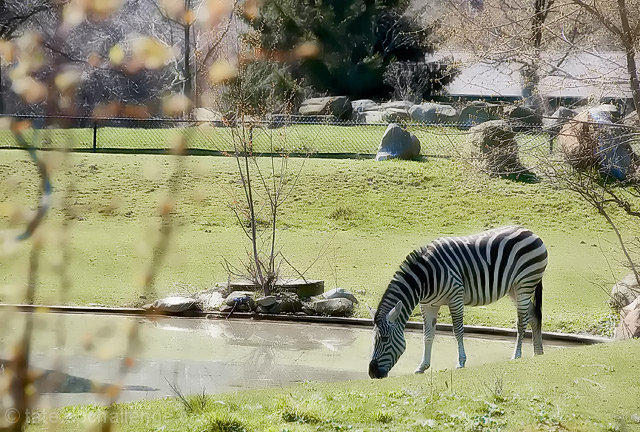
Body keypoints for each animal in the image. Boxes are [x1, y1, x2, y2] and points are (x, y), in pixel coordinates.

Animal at [368, 226, 548, 378]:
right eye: (373, 339)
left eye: (385, 339)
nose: (372, 373)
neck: (424, 279)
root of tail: (530, 231)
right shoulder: (428, 305)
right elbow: (428, 335)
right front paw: (422, 366)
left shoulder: (455, 297)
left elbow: (458, 331)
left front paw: (461, 362)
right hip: (514, 289)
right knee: (533, 316)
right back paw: (538, 353)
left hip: (525, 283)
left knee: (522, 321)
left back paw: (516, 355)